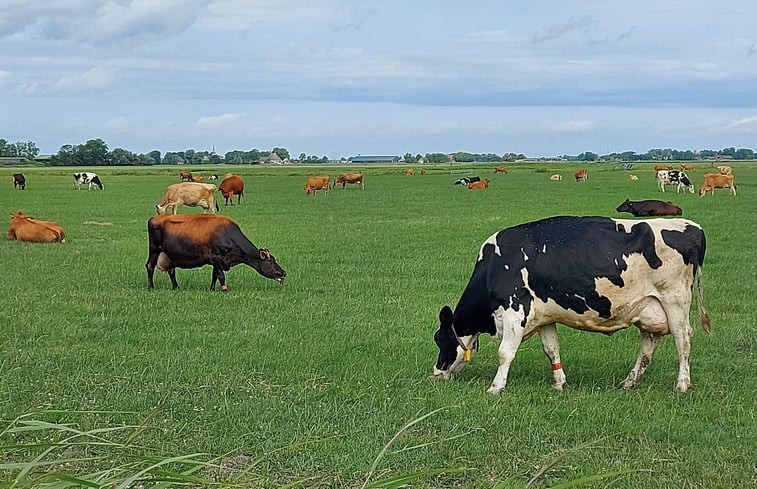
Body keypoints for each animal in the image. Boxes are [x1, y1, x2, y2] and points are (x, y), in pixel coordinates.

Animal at [145, 214, 286, 290]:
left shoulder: (216, 260)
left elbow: (215, 275)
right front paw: (224, 289)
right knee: (150, 266)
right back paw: (151, 287)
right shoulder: (217, 256)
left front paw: (212, 289)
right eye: (271, 261)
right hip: (154, 248)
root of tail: (154, 218)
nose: (283, 273)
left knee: (171, 270)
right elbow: (221, 276)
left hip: (170, 254)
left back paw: (176, 287)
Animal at [432, 215, 708, 394]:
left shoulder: (515, 310)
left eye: (440, 339)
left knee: (683, 340)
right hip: (649, 309)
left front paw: (495, 387)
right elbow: (551, 350)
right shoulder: (544, 317)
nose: (436, 373)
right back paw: (629, 382)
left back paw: (682, 385)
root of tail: (693, 226)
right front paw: (559, 383)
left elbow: (504, 353)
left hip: (675, 300)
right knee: (649, 344)